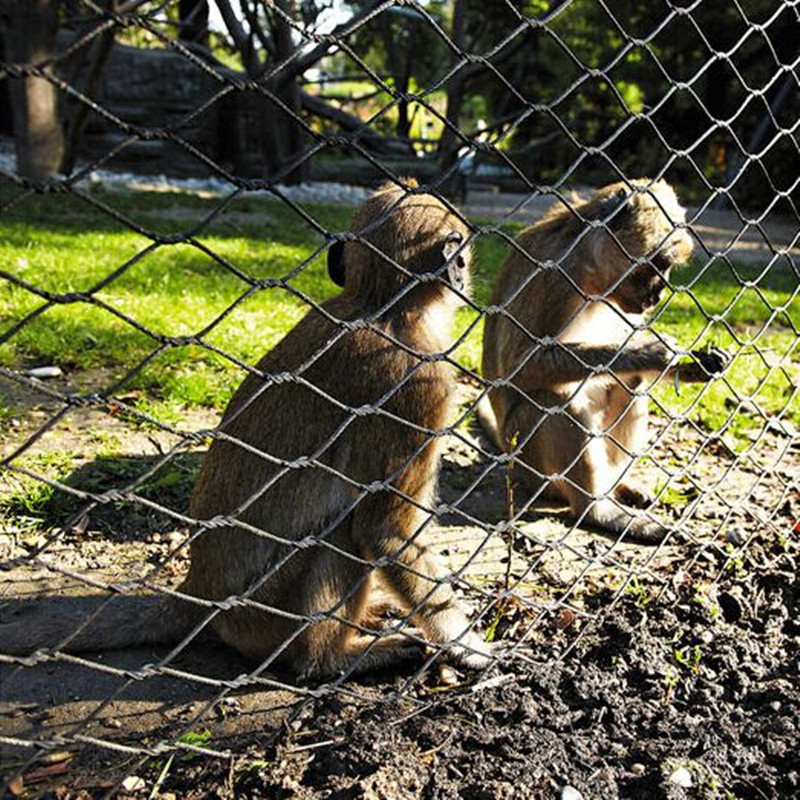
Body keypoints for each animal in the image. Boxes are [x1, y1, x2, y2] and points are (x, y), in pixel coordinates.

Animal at [0, 184, 490, 680]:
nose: (465, 272)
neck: (375, 308)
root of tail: (201, 590)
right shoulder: (420, 382)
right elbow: (386, 532)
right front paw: (467, 645)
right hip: (267, 613)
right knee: (341, 529)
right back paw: (327, 659)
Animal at [478, 180, 728, 544]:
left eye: (666, 268)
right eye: (656, 266)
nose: (657, 295)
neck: (590, 277)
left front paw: (693, 364)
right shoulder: (553, 276)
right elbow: (519, 367)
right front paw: (653, 351)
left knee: (631, 384)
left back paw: (615, 486)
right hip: (528, 464)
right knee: (556, 399)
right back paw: (597, 509)